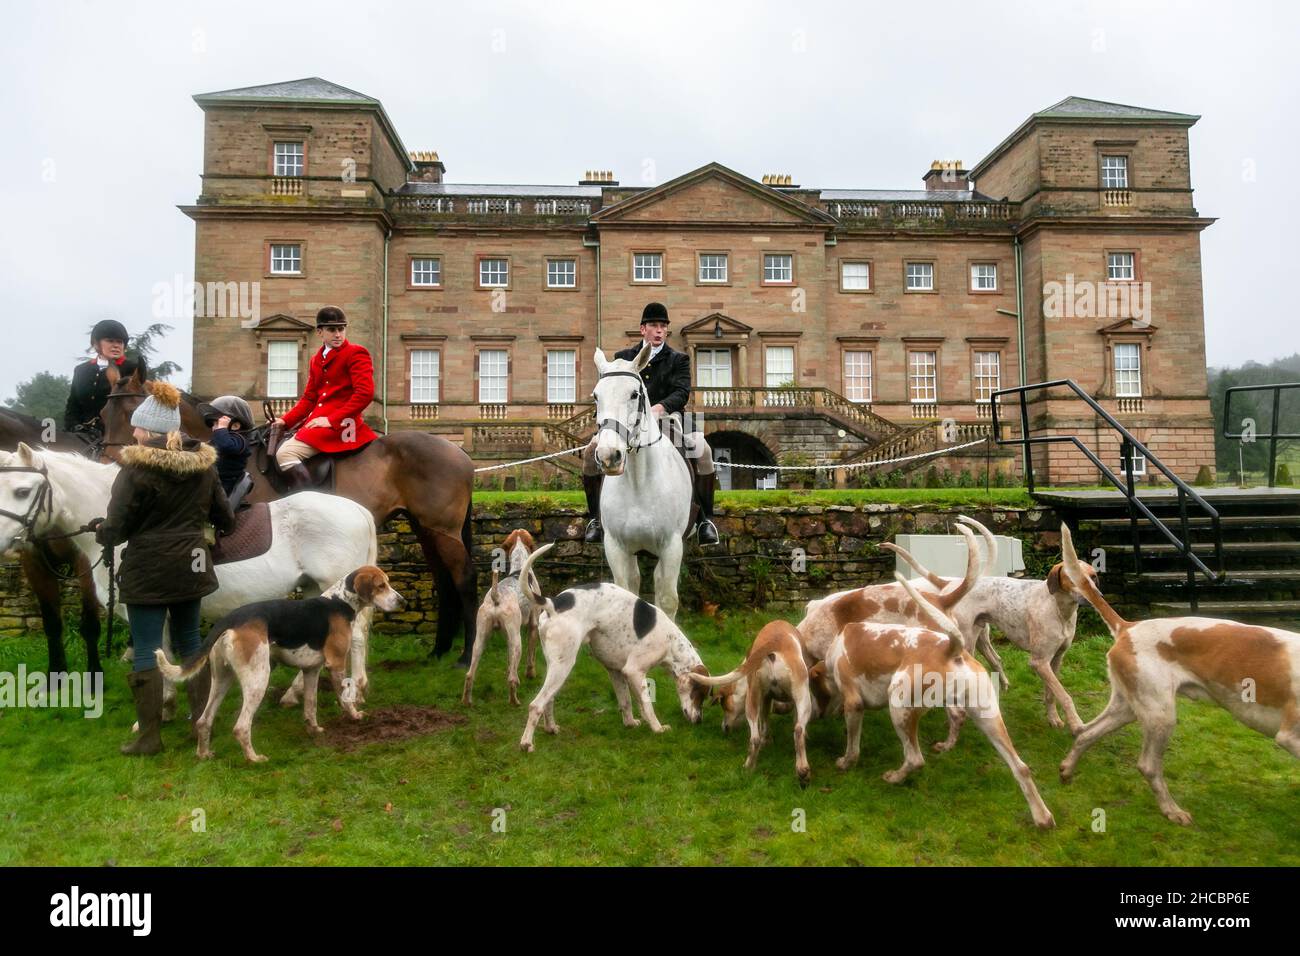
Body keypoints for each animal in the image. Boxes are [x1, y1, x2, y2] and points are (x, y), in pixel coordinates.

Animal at [0, 442, 379, 702]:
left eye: (23, 491)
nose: (3, 541)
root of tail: (358, 510)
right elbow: (163, 656)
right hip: (316, 590)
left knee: (357, 637)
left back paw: (355, 687)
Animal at [100, 366, 478, 665]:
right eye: (103, 413)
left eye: (133, 411)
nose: (112, 466)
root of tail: (458, 450)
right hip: (425, 528)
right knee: (443, 581)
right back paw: (439, 651)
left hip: (443, 530)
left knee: (463, 578)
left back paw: (465, 655)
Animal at [592, 343, 696, 621]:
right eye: (596, 396)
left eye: (634, 394)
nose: (609, 456)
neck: (638, 481)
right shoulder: (616, 547)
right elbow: (627, 593)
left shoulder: (672, 546)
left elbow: (668, 599)